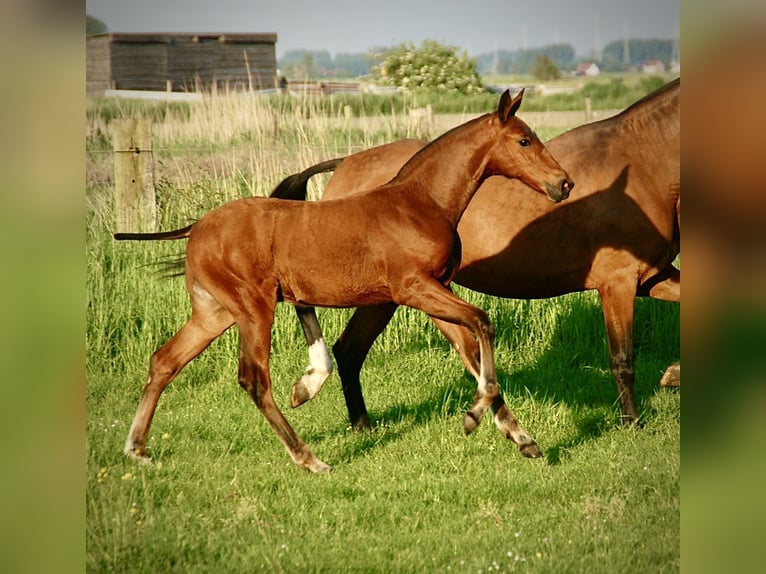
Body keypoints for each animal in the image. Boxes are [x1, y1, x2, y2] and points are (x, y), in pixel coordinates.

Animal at [112, 90, 568, 474]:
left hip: (214, 312)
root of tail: (199, 228)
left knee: (164, 361)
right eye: (524, 141)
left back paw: (137, 449)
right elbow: (483, 323)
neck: (419, 202)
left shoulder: (435, 288)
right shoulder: (414, 288)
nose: (564, 183)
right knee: (254, 380)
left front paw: (520, 437)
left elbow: (469, 347)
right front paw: (474, 418)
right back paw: (309, 458)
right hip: (253, 308)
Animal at [272, 80, 680, 432]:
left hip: (384, 296)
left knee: (352, 349)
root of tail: (344, 163)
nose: (564, 185)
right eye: (524, 140)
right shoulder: (618, 282)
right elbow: (622, 358)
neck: (645, 162)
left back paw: (363, 424)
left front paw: (672, 375)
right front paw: (632, 423)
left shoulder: (652, 277)